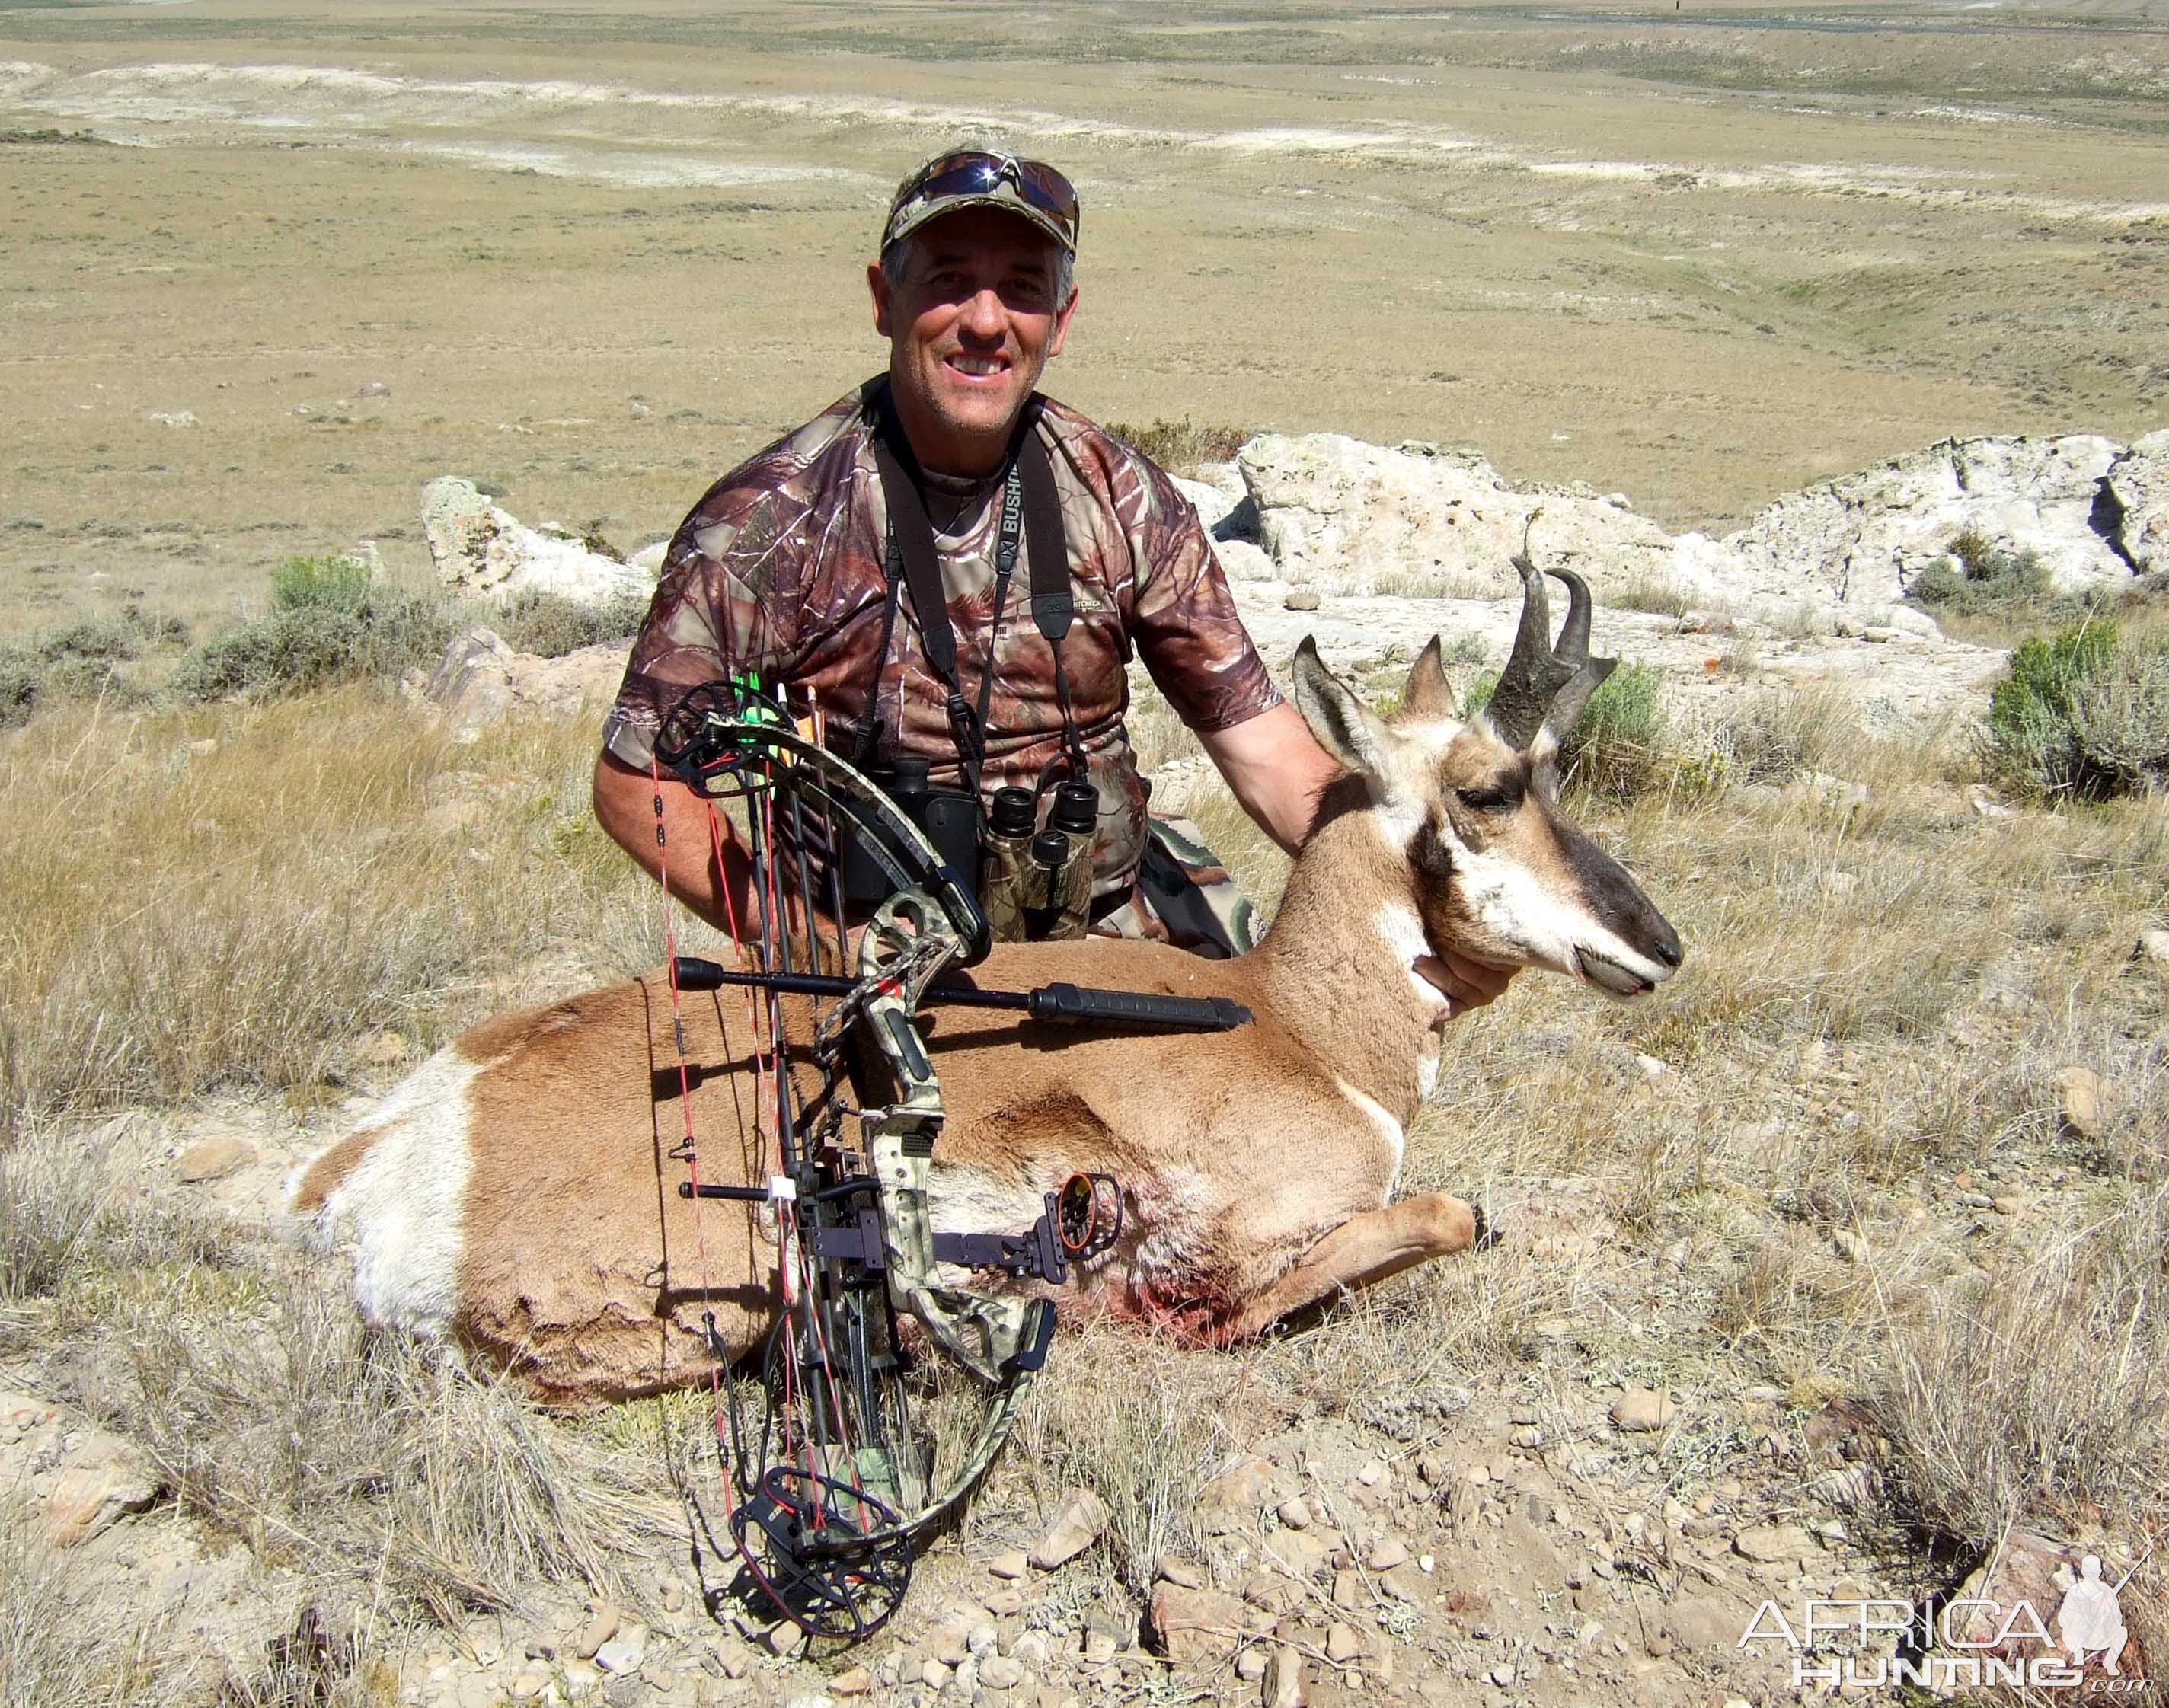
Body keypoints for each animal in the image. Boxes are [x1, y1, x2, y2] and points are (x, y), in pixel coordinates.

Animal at [292, 559, 1674, 1404]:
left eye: (1557, 776)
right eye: (1489, 788)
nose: (1661, 943)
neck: (1298, 1027)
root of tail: (395, 1148)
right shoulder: (1237, 1236)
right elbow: (1444, 1217)